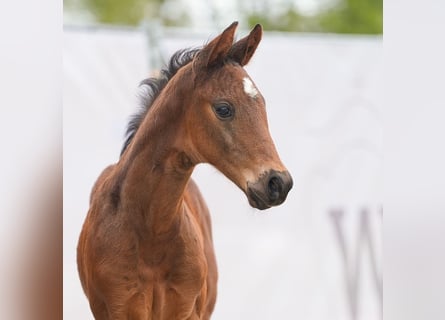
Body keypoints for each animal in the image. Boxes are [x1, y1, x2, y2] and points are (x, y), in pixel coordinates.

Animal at [76, 21, 292, 318]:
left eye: (262, 105)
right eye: (223, 108)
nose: (278, 183)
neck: (151, 232)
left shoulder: (186, 310)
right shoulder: (119, 309)